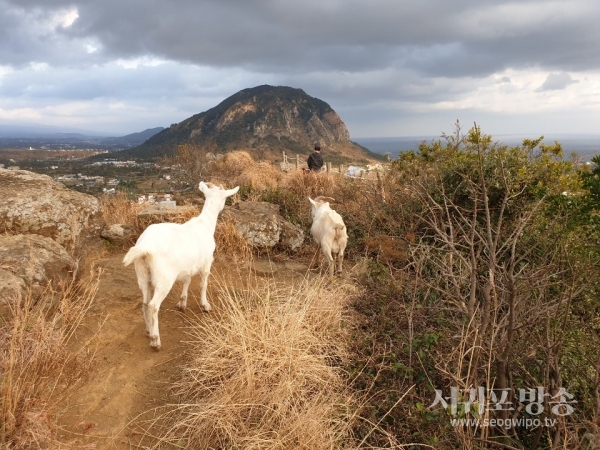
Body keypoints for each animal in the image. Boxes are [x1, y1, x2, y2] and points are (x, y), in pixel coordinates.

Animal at [122, 181, 239, 350]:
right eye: (224, 198)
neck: (204, 224)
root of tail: (145, 248)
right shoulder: (206, 263)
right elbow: (203, 284)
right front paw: (205, 306)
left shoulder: (187, 266)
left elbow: (187, 281)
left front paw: (182, 303)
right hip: (164, 279)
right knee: (153, 306)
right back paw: (155, 340)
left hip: (142, 275)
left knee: (144, 303)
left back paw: (149, 330)